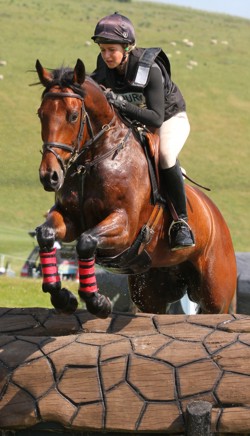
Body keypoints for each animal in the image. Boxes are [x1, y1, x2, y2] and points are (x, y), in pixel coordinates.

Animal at [34, 58, 237, 316]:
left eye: (72, 116)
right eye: (41, 114)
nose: (49, 176)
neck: (94, 161)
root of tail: (217, 218)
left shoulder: (126, 226)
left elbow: (86, 241)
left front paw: (98, 303)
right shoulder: (70, 218)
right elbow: (46, 234)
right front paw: (63, 298)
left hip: (215, 295)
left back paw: (183, 233)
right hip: (153, 290)